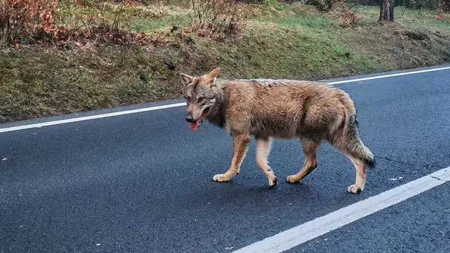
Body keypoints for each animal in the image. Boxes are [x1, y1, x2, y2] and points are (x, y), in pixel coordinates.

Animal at [181, 67, 374, 194]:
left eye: (201, 99)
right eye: (188, 99)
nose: (188, 119)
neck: (227, 97)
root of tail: (343, 95)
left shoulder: (242, 136)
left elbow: (235, 163)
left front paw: (226, 177)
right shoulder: (262, 137)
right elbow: (260, 161)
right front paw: (272, 179)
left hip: (315, 140)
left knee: (322, 162)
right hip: (326, 140)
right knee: (351, 161)